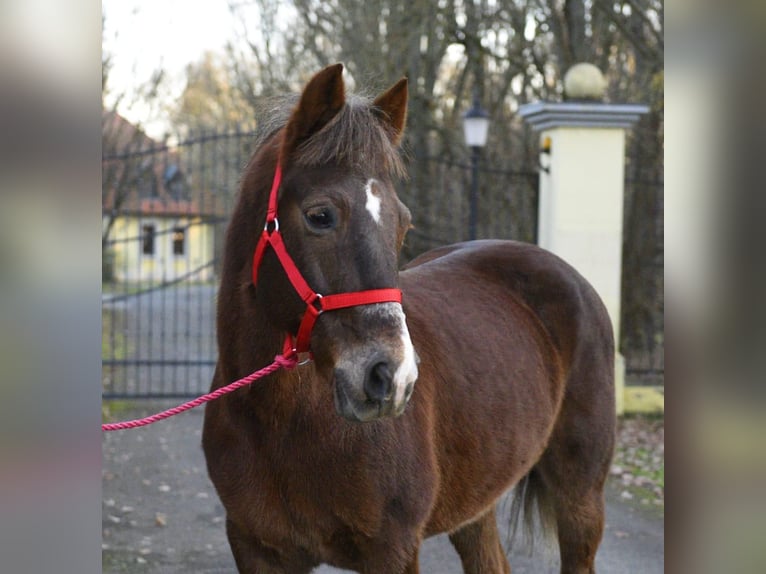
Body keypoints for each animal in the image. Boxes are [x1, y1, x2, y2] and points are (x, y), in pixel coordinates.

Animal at [202, 63, 616, 574]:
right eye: (320, 216)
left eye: (403, 223)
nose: (391, 378)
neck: (281, 420)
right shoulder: (254, 547)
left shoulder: (393, 549)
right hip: (474, 503)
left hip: (581, 499)